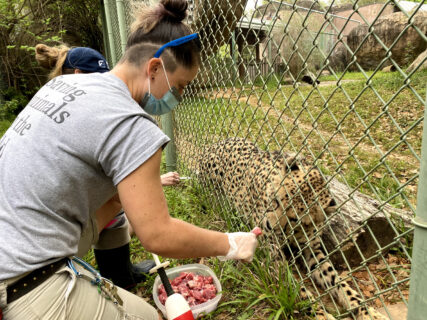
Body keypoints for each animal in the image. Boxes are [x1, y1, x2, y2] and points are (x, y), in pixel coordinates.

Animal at [201, 138, 388, 320]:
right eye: (275, 201)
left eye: (294, 218)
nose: (267, 226)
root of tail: (214, 143)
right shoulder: (274, 255)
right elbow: (298, 289)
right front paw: (321, 314)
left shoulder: (312, 250)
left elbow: (338, 281)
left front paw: (368, 312)